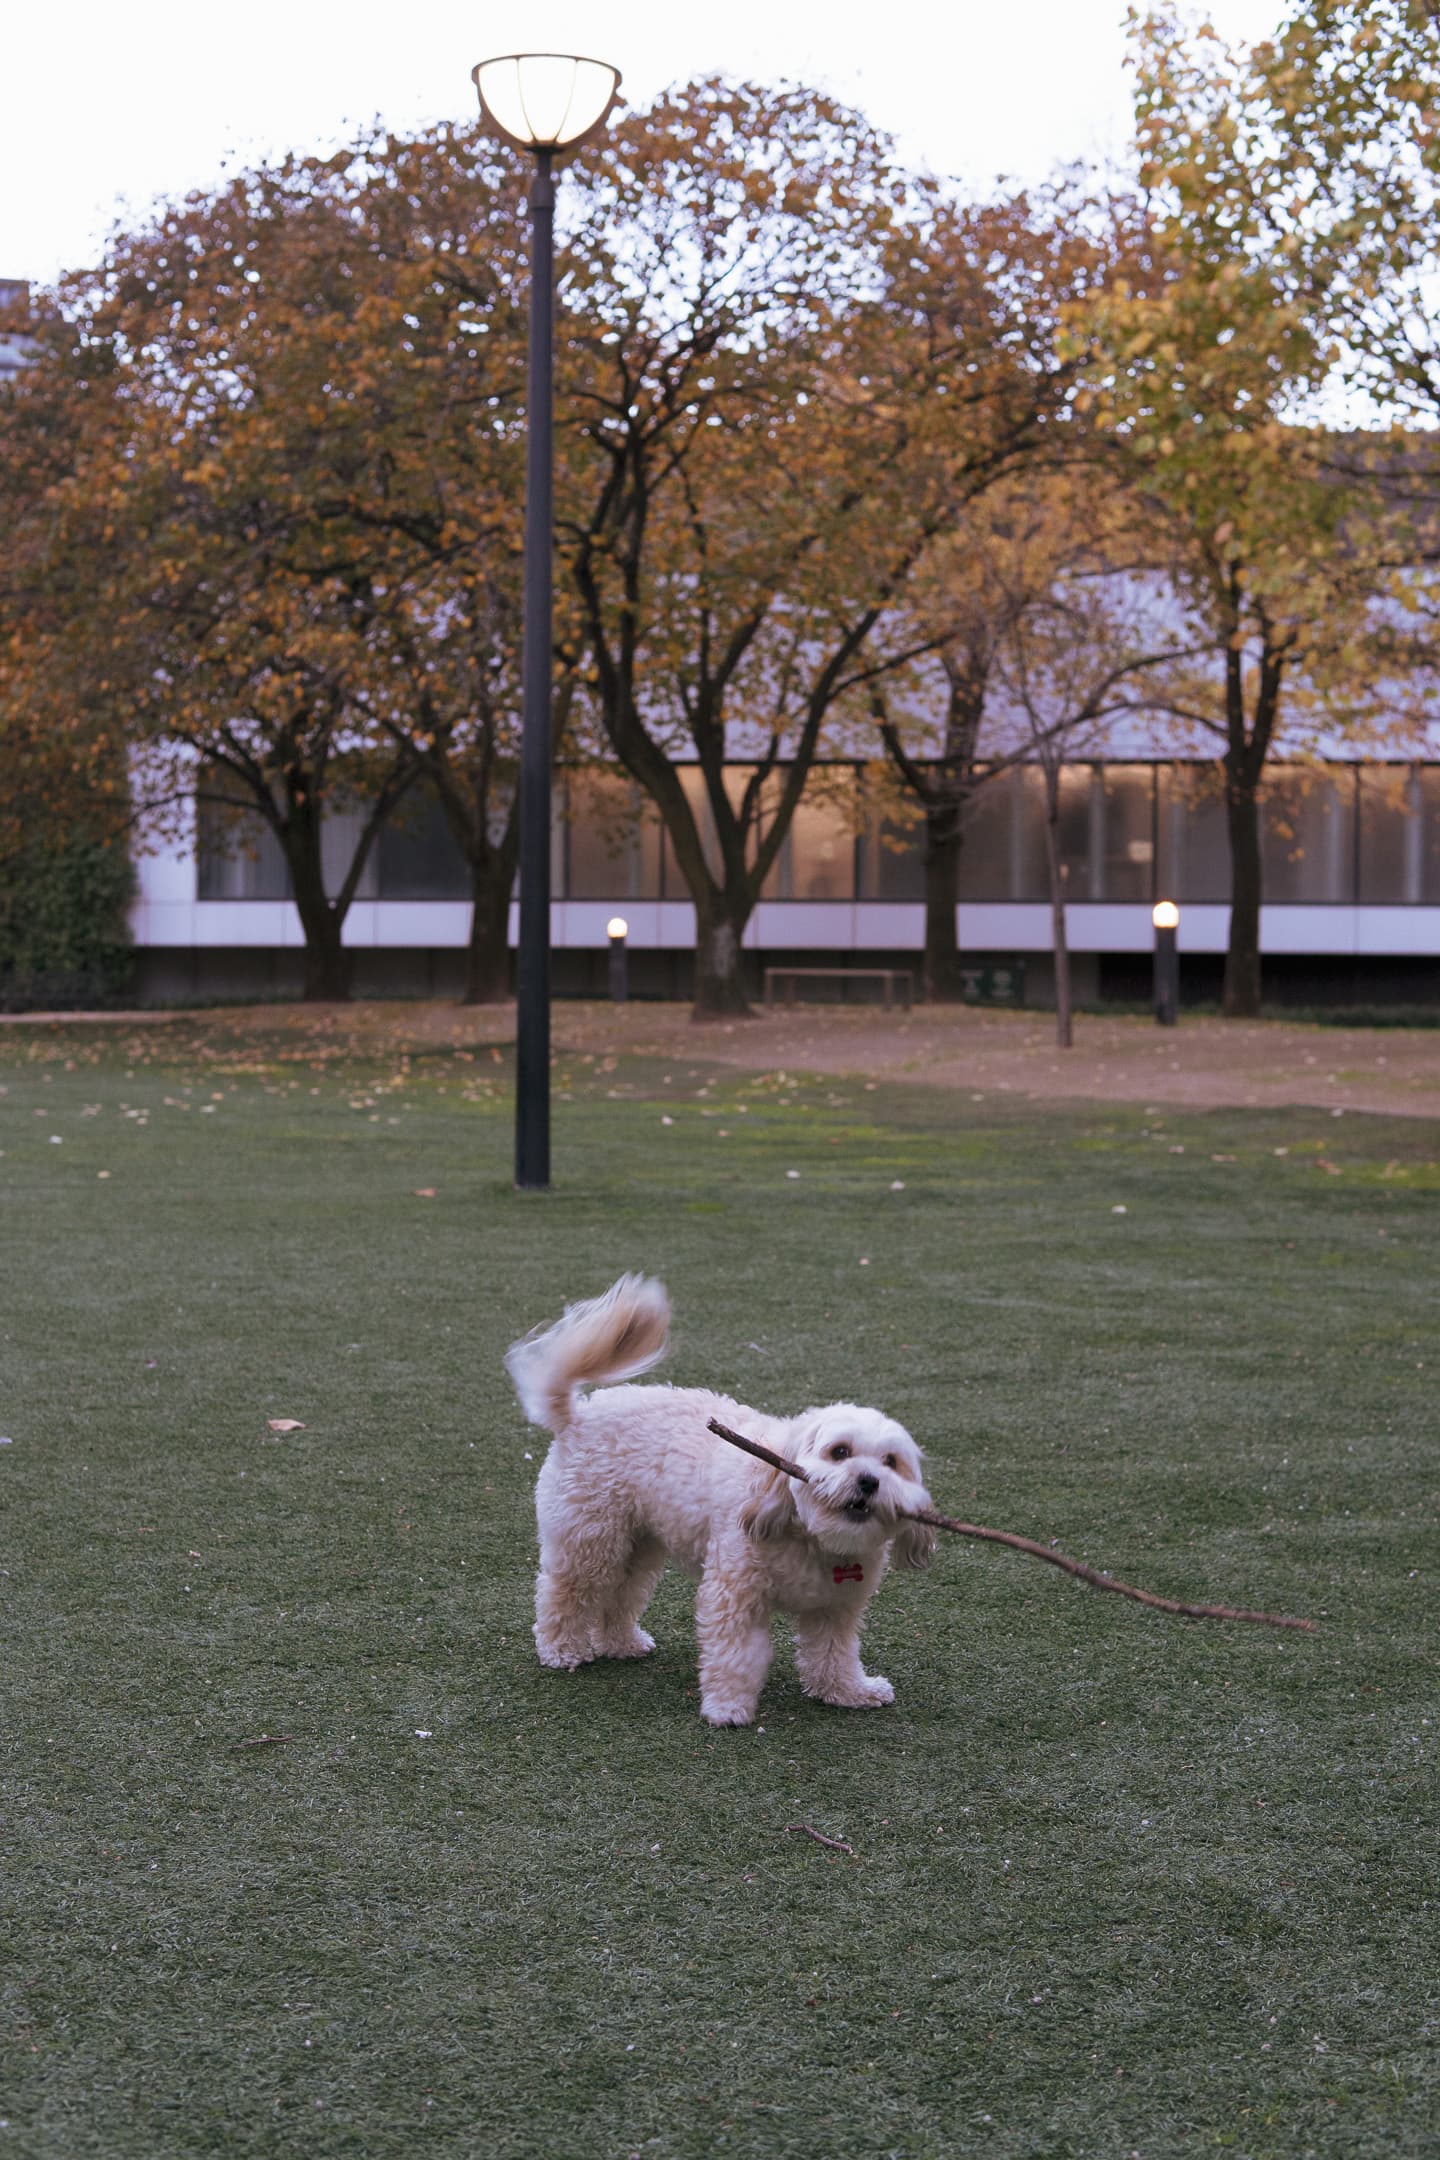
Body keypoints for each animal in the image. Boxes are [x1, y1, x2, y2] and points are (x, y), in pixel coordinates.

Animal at [505, 1270, 936, 1728]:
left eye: (891, 1462)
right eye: (839, 1451)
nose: (869, 1481)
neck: (811, 1535)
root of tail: (578, 1414)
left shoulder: (835, 1609)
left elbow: (834, 1656)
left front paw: (850, 1691)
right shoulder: (736, 1593)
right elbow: (737, 1656)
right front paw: (728, 1708)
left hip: (638, 1542)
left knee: (621, 1593)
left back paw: (622, 1643)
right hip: (589, 1538)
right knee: (564, 1592)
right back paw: (562, 1650)